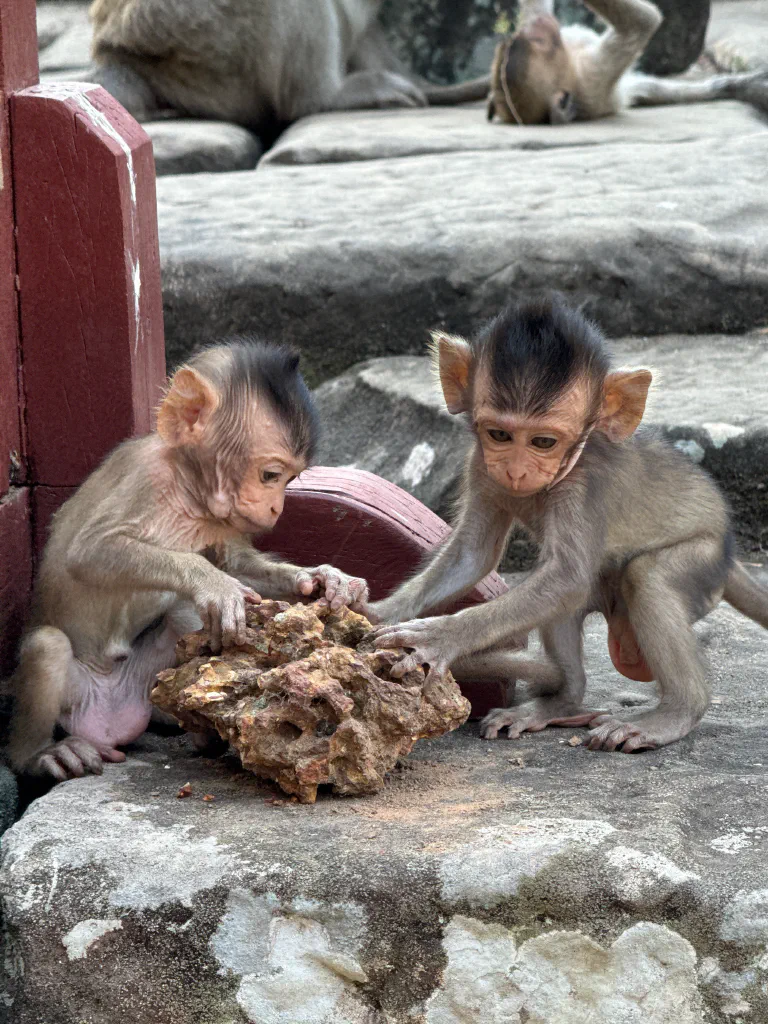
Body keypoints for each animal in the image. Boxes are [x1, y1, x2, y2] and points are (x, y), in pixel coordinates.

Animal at [4, 339, 368, 778]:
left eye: (291, 479)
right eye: (270, 475)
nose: (277, 508)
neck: (188, 491)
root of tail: (108, 720)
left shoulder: (221, 520)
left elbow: (235, 562)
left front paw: (319, 578)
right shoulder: (145, 477)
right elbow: (90, 552)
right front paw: (213, 582)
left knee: (181, 617)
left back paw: (200, 730)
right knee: (48, 646)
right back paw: (41, 754)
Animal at [370, 296, 768, 753]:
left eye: (543, 442)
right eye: (499, 435)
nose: (516, 471)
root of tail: (729, 553)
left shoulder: (584, 486)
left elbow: (566, 576)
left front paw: (439, 637)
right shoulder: (481, 465)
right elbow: (474, 555)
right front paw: (375, 608)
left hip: (704, 563)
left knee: (645, 577)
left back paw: (675, 713)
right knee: (565, 603)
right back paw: (561, 702)